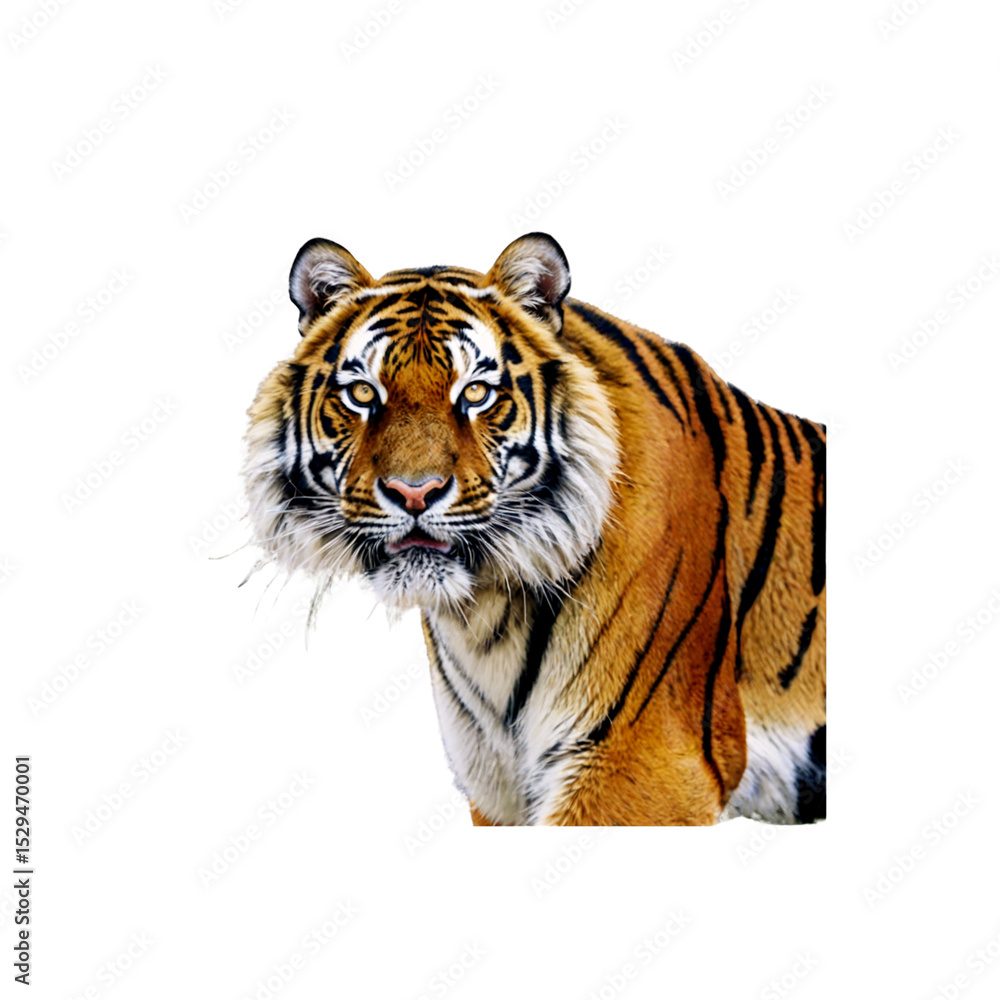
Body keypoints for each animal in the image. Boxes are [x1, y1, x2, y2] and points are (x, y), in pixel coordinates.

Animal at [243, 232, 826, 826]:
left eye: (476, 394)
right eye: (362, 394)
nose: (414, 492)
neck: (485, 619)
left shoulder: (644, 763)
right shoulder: (497, 789)